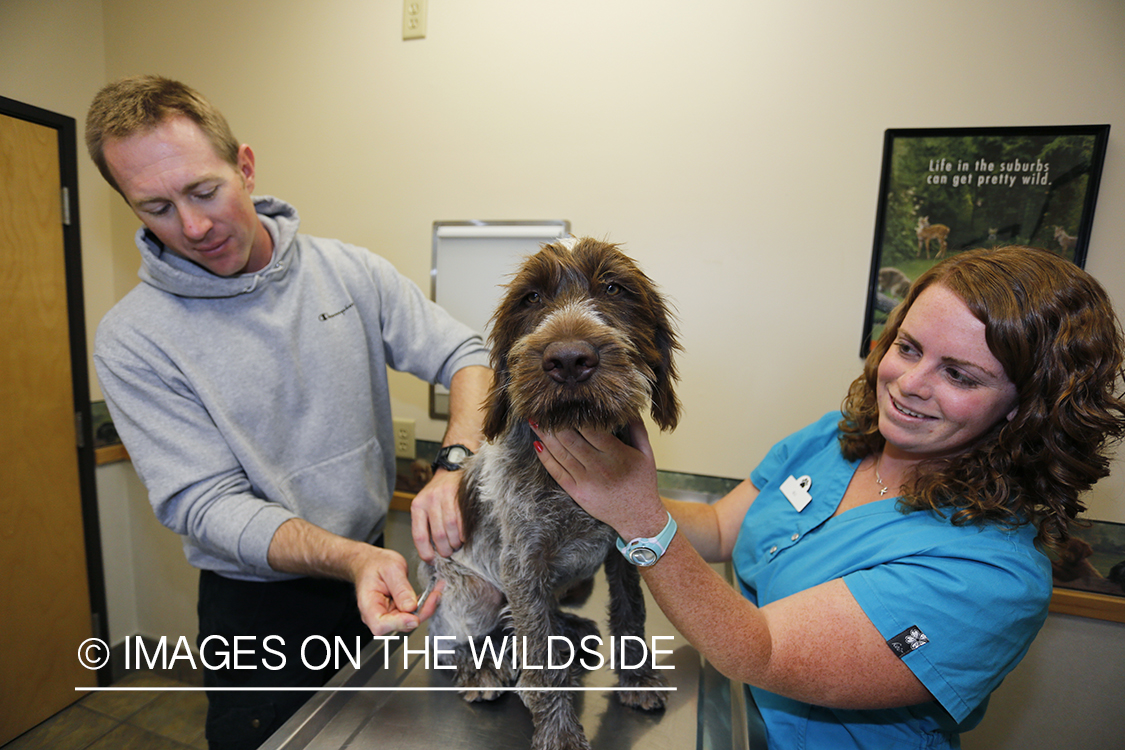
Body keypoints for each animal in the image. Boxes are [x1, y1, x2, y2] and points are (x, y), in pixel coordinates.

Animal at [423, 237, 679, 750]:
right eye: (532, 298)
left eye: (614, 288)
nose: (568, 360)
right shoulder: (522, 568)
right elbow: (540, 661)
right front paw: (559, 733)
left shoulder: (624, 546)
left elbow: (632, 613)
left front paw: (638, 679)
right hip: (472, 589)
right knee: (448, 640)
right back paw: (479, 668)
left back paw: (571, 628)